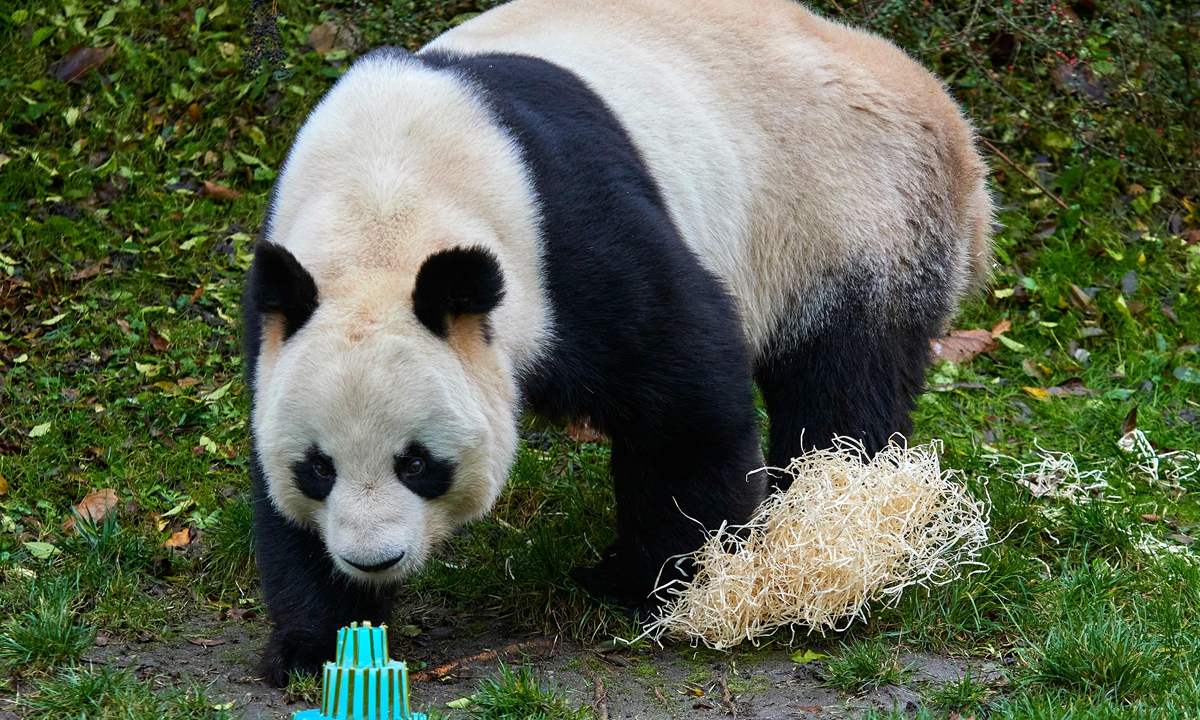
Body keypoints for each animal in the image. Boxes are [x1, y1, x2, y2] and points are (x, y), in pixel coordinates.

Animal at [243, 0, 992, 685]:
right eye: (317, 468)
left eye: (418, 464)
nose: (373, 559)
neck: (384, 202)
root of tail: (945, 112)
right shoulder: (283, 302)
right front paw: (319, 641)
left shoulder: (561, 239)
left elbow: (682, 387)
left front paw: (660, 582)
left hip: (851, 213)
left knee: (844, 381)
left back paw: (831, 517)